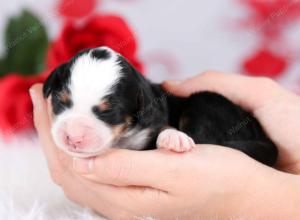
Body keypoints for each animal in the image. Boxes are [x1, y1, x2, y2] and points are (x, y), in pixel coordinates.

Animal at [43, 47, 278, 166]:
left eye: (108, 111)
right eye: (60, 101)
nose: (73, 137)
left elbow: (165, 127)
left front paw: (174, 138)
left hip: (206, 101)